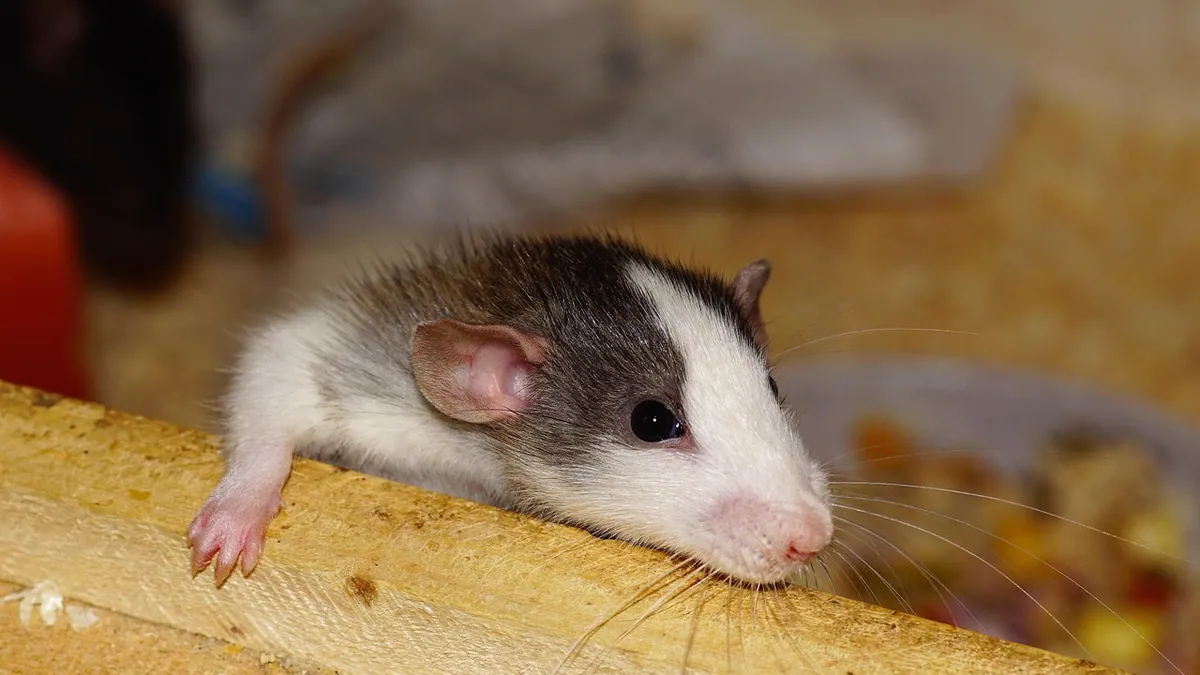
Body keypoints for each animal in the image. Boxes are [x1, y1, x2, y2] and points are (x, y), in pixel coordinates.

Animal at [188, 232, 834, 587]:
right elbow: (278, 368)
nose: (809, 537)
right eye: (652, 421)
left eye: (772, 386)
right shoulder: (373, 363)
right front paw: (241, 508)